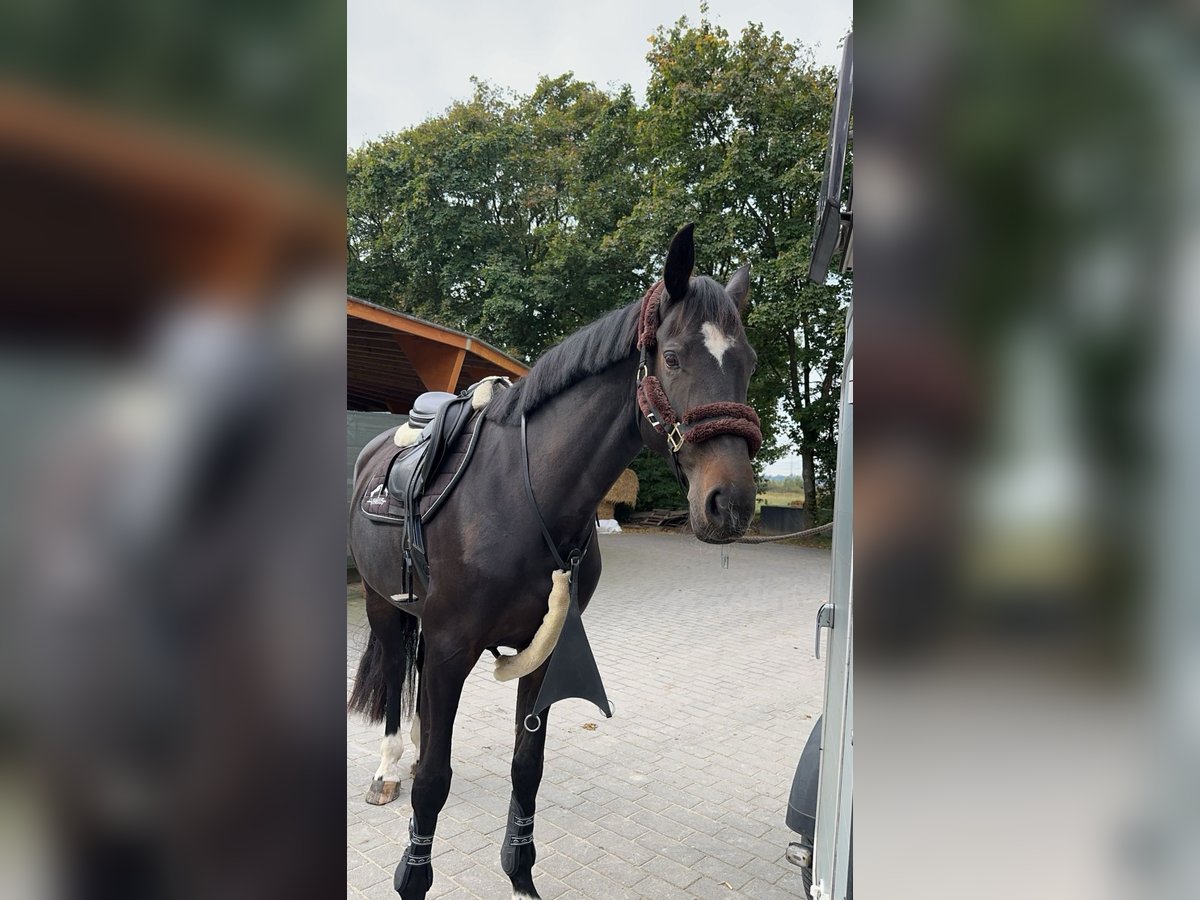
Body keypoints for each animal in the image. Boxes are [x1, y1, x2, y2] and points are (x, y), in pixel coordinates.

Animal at [348, 225, 758, 900]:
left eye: (746, 363)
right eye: (672, 358)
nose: (731, 503)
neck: (520, 493)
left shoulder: (539, 652)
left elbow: (526, 767)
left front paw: (520, 874)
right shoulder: (452, 646)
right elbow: (434, 778)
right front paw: (413, 876)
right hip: (385, 608)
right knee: (393, 682)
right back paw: (386, 771)